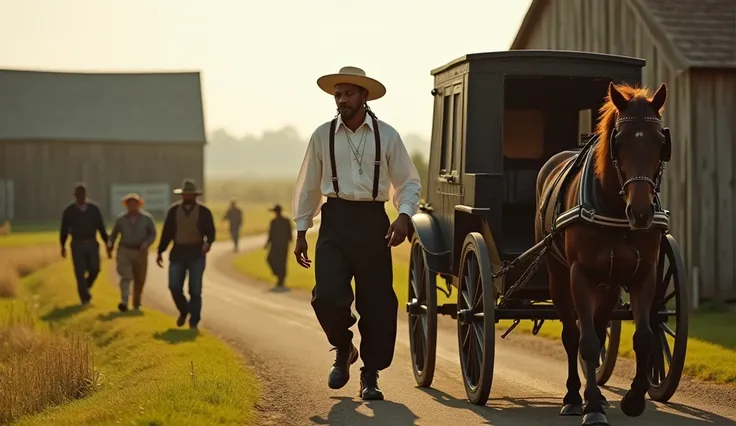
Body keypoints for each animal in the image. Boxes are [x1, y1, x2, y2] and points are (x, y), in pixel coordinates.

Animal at [536, 80, 672, 426]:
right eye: (619, 141)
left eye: (660, 141)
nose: (641, 212)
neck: (614, 209)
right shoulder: (579, 276)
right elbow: (584, 340)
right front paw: (592, 407)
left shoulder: (644, 274)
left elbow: (644, 336)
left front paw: (634, 399)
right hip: (558, 275)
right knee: (573, 334)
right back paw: (574, 397)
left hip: (609, 283)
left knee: (598, 328)